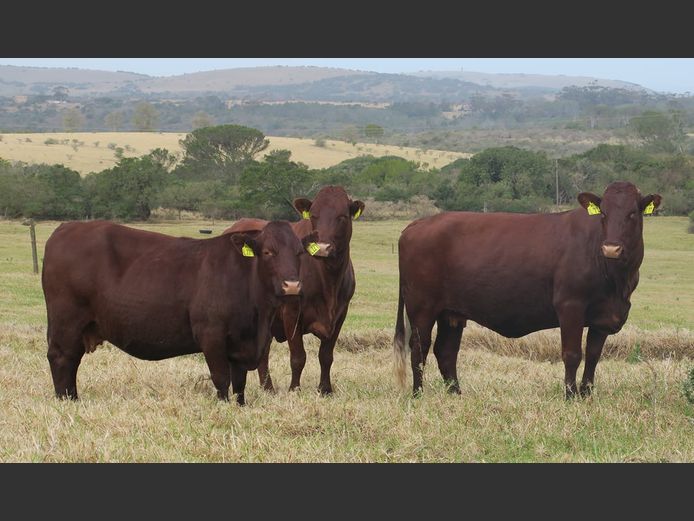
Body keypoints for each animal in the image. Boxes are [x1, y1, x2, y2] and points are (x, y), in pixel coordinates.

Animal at [41, 220, 317, 406]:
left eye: (299, 253)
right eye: (268, 252)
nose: (292, 285)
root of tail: (66, 228)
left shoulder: (242, 344)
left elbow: (239, 384)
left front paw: (240, 406)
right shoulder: (211, 335)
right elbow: (221, 378)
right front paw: (224, 406)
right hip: (67, 323)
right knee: (62, 358)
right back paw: (67, 400)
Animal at [225, 186, 365, 395]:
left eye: (342, 216)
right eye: (314, 215)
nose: (322, 248)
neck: (329, 279)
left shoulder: (341, 314)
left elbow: (326, 356)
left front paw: (325, 389)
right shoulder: (291, 312)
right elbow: (298, 357)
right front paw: (294, 389)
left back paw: (268, 388)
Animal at [394, 181, 661, 399]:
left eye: (632, 213)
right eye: (603, 213)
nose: (611, 248)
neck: (616, 282)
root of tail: (418, 223)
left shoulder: (602, 317)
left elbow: (594, 356)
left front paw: (587, 395)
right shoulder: (570, 306)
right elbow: (572, 354)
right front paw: (571, 396)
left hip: (451, 314)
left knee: (446, 351)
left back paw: (456, 394)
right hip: (422, 308)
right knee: (419, 348)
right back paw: (418, 394)